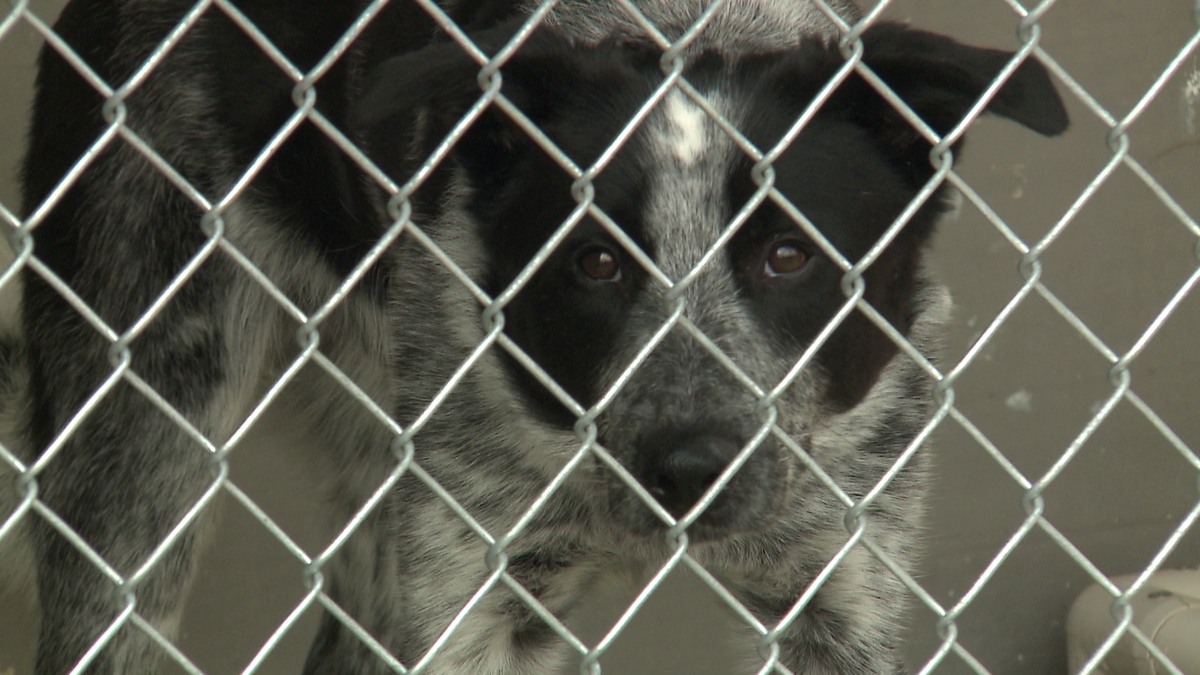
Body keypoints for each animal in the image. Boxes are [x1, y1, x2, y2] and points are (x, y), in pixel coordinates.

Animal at [2, 0, 1070, 667]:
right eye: (592, 261)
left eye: (788, 254)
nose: (690, 467)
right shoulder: (472, 597)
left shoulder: (843, 591)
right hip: (144, 454)